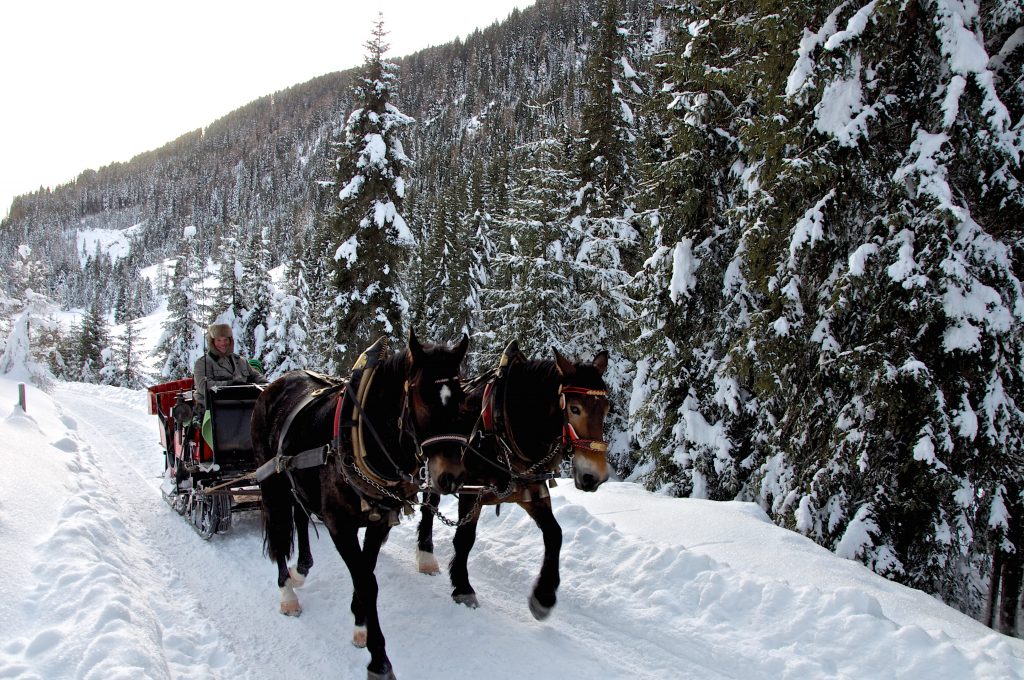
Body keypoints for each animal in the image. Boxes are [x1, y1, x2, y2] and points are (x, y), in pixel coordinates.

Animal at [251, 331, 468, 675]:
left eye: (462, 398)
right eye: (421, 397)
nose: (452, 477)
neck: (361, 436)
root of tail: (274, 384)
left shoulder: (381, 521)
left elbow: (365, 572)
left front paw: (360, 623)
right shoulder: (340, 526)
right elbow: (367, 582)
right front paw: (378, 658)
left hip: (295, 479)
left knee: (300, 515)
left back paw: (302, 568)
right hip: (271, 482)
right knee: (279, 532)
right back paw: (287, 592)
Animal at [415, 342, 606, 618]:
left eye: (607, 408)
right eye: (575, 408)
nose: (595, 476)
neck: (505, 425)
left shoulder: (531, 491)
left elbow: (555, 534)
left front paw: (544, 595)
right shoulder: (471, 490)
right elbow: (464, 538)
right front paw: (463, 587)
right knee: (429, 506)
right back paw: (426, 556)